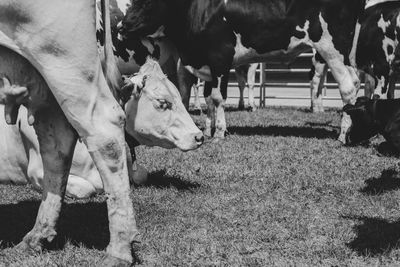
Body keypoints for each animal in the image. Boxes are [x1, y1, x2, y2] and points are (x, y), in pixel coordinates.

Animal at [118, 0, 378, 144]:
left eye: (147, 2)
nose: (121, 26)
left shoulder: (220, 58)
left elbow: (217, 97)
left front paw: (219, 132)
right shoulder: (207, 64)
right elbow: (208, 98)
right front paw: (207, 129)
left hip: (331, 49)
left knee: (347, 87)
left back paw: (344, 134)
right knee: (356, 82)